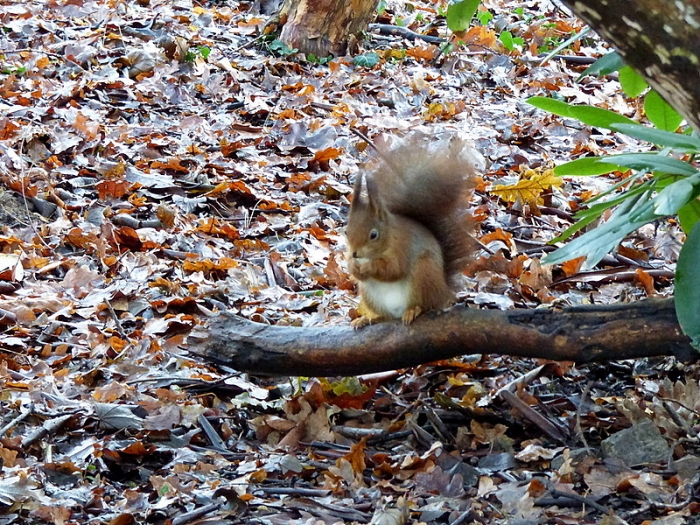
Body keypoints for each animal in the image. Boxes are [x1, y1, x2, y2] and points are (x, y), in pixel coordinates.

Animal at [345, 132, 480, 328]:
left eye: (373, 235)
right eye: (346, 232)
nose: (355, 253)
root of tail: (443, 291)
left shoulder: (403, 247)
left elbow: (394, 270)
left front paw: (369, 267)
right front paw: (352, 266)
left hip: (423, 273)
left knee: (424, 305)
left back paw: (412, 311)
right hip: (371, 295)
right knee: (386, 316)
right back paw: (368, 319)